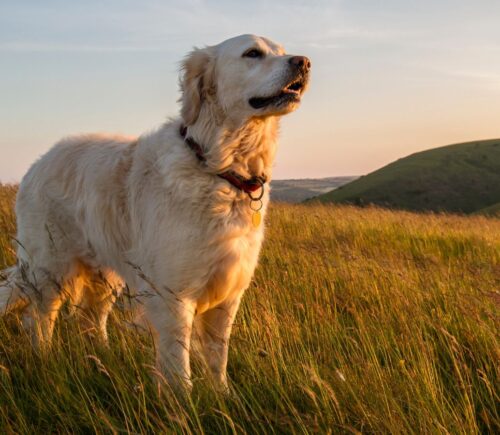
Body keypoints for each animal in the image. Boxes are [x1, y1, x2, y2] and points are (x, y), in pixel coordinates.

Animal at [0, 34, 310, 392]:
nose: (303, 62)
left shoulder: (227, 295)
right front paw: (184, 401)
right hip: (51, 267)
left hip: (104, 275)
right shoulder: (173, 295)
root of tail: (37, 162)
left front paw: (222, 395)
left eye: (282, 51)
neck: (218, 167)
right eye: (252, 53)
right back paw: (45, 360)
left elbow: (218, 357)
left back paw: (103, 360)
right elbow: (179, 364)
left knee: (90, 318)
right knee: (39, 317)